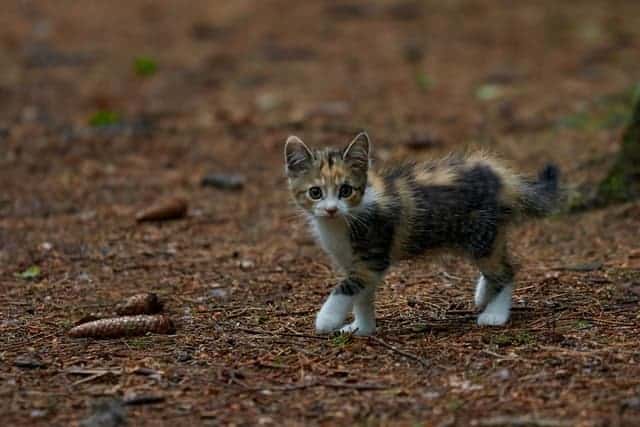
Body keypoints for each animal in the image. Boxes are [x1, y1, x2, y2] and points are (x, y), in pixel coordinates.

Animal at [284, 132, 560, 336]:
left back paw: (495, 314)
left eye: (345, 190)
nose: (331, 209)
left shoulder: (372, 256)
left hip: (482, 235)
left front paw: (327, 319)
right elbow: (363, 296)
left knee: (506, 271)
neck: (342, 221)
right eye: (315, 193)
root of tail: (504, 178)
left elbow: (347, 287)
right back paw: (483, 296)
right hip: (488, 235)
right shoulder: (356, 263)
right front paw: (363, 328)